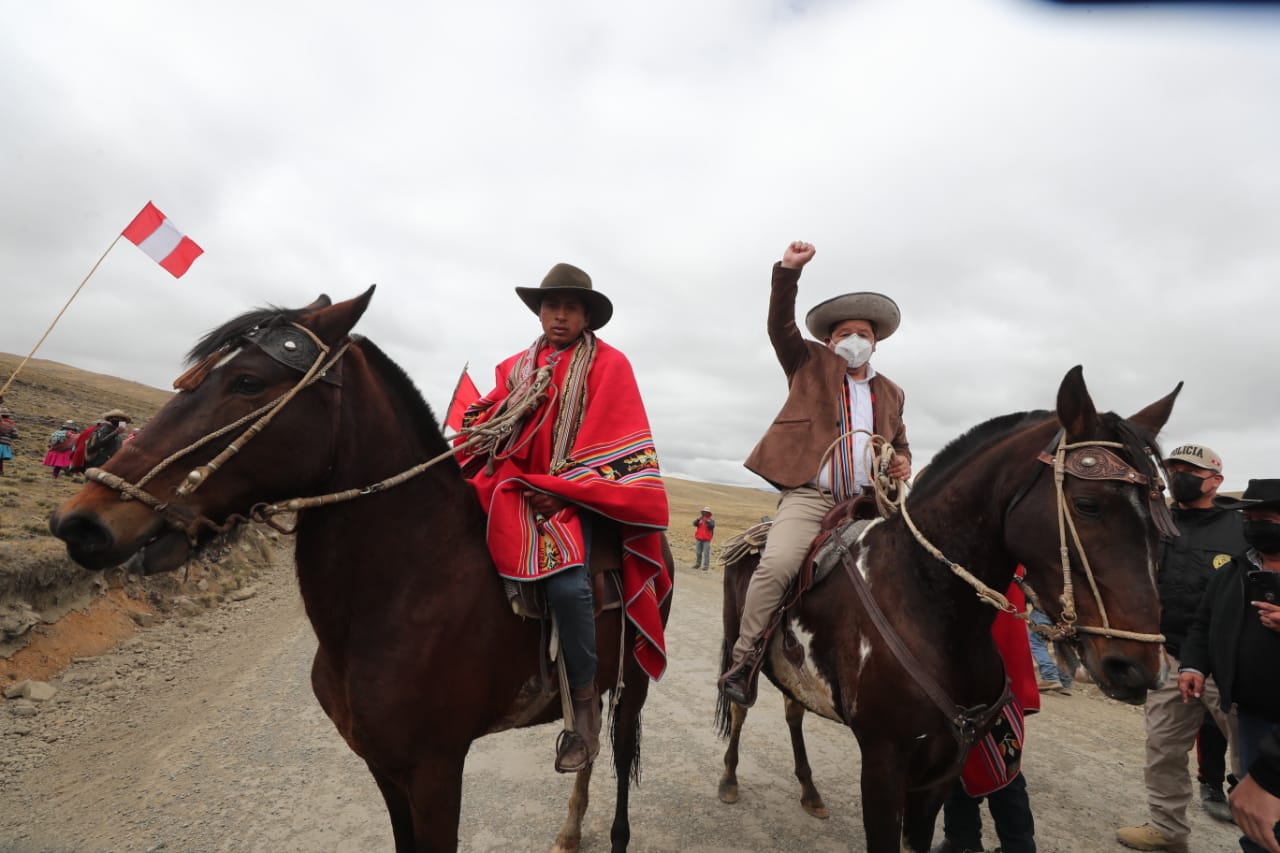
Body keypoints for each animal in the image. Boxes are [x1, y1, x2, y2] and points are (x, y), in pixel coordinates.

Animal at [48, 289, 670, 845]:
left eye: (247, 382)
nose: (81, 523)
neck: (403, 591)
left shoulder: (437, 769)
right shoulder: (382, 765)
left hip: (636, 677)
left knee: (619, 752)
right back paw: (569, 830)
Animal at [716, 366, 1172, 850]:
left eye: (1162, 516)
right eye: (1088, 504)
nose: (1138, 668)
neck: (932, 606)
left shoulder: (943, 769)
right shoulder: (882, 764)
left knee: (793, 711)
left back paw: (809, 789)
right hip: (738, 644)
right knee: (741, 708)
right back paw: (729, 779)